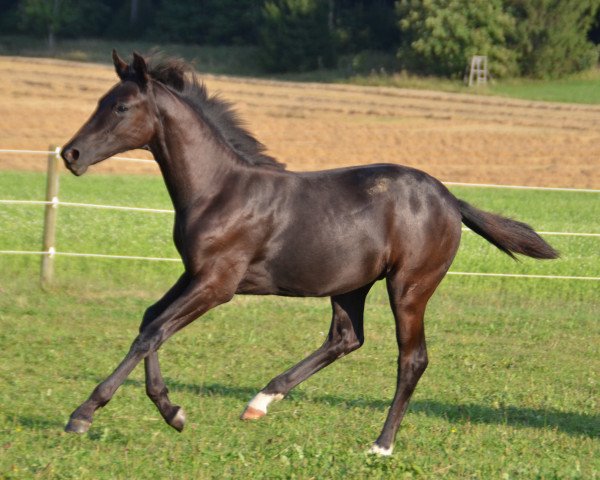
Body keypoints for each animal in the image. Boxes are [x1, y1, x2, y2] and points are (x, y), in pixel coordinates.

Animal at [61, 52, 556, 458]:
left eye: (121, 107)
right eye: (102, 100)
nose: (71, 153)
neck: (219, 189)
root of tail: (450, 199)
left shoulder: (217, 284)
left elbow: (153, 333)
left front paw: (84, 414)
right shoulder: (194, 274)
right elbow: (150, 321)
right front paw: (172, 412)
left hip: (409, 287)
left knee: (411, 358)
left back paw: (381, 444)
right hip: (351, 284)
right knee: (346, 338)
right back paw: (261, 401)